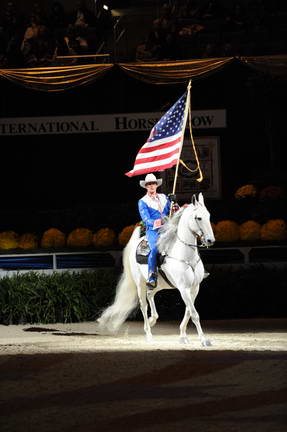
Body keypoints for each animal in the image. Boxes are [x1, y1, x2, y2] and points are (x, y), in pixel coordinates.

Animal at [97, 194, 216, 346]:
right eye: (198, 218)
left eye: (208, 216)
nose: (210, 240)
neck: (185, 255)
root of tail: (136, 243)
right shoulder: (184, 288)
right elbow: (194, 314)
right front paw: (204, 340)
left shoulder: (195, 288)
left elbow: (189, 311)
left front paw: (183, 336)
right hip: (140, 284)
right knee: (143, 305)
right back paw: (149, 334)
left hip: (159, 284)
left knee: (150, 295)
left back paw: (153, 319)